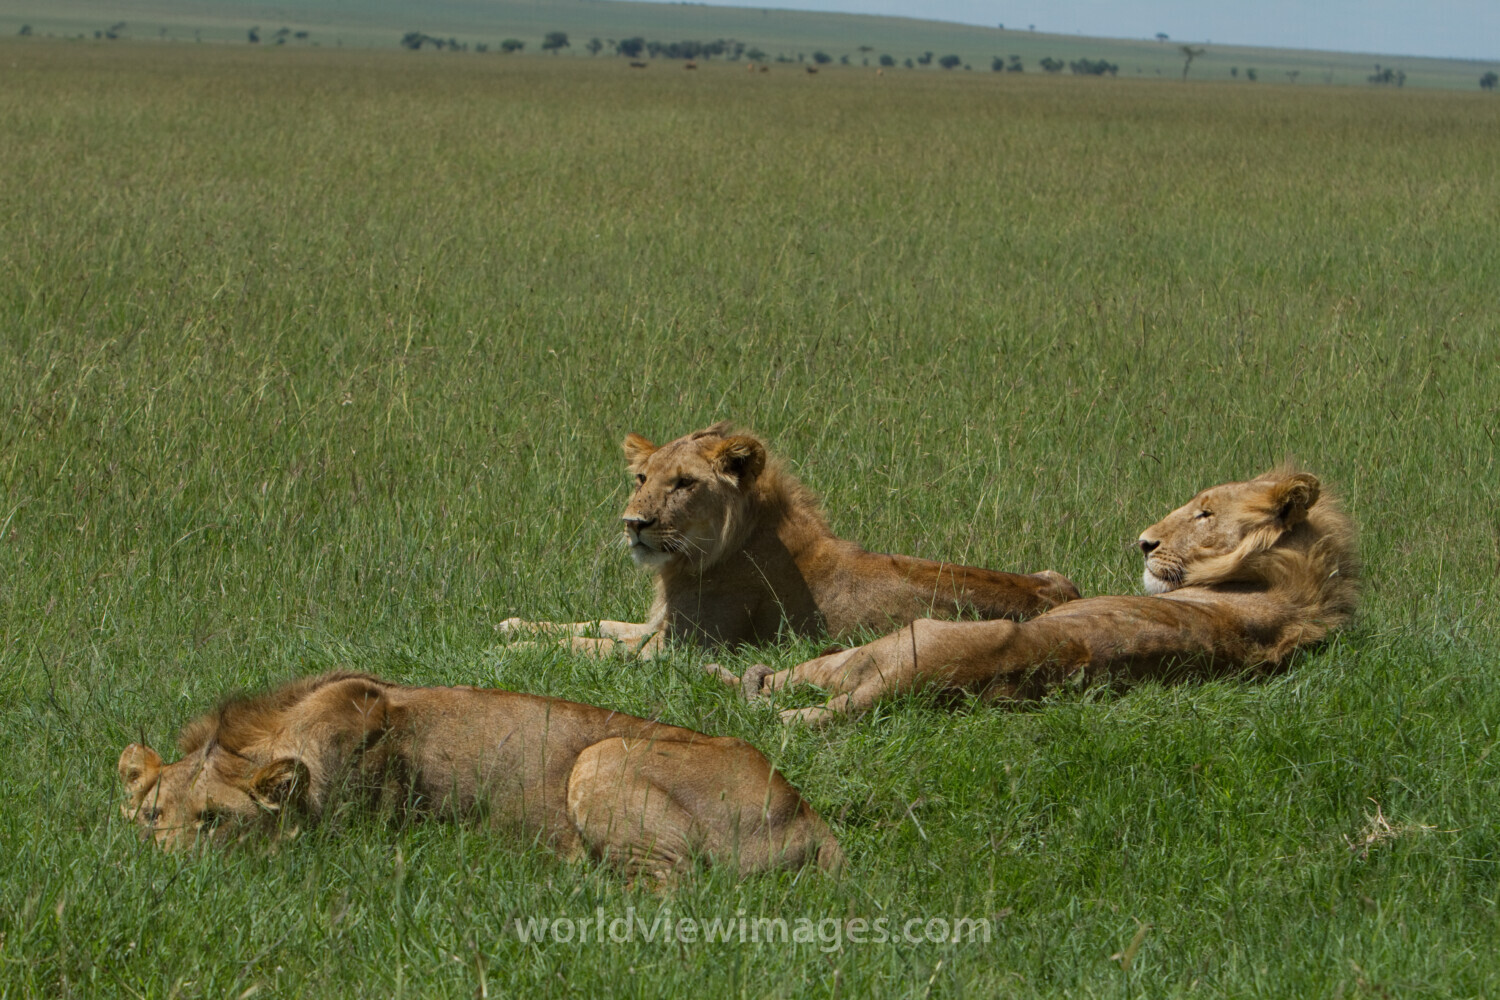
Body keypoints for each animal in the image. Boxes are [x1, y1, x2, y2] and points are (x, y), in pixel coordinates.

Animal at [500, 422, 1078, 657]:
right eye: (642, 478)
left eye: (684, 483)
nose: (633, 523)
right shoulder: (659, 626)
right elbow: (596, 624)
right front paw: (517, 625)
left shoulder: (684, 647)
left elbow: (594, 645)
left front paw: (519, 647)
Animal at [714, 467, 1358, 726]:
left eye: (1204, 513)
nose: (1144, 543)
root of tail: (918, 681)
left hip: (890, 644)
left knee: (787, 683)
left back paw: (731, 678)